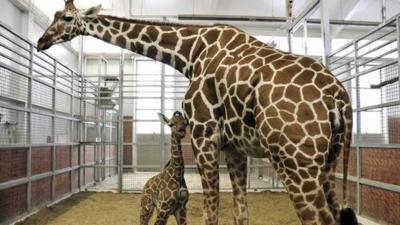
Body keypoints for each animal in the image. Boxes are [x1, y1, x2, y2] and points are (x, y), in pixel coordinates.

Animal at [37, 0, 356, 224]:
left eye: (66, 18)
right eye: (54, 15)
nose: (41, 41)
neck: (190, 53)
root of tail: (339, 96)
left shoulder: (203, 135)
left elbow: (209, 214)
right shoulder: (234, 148)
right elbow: (240, 213)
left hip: (295, 161)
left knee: (318, 218)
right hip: (327, 162)